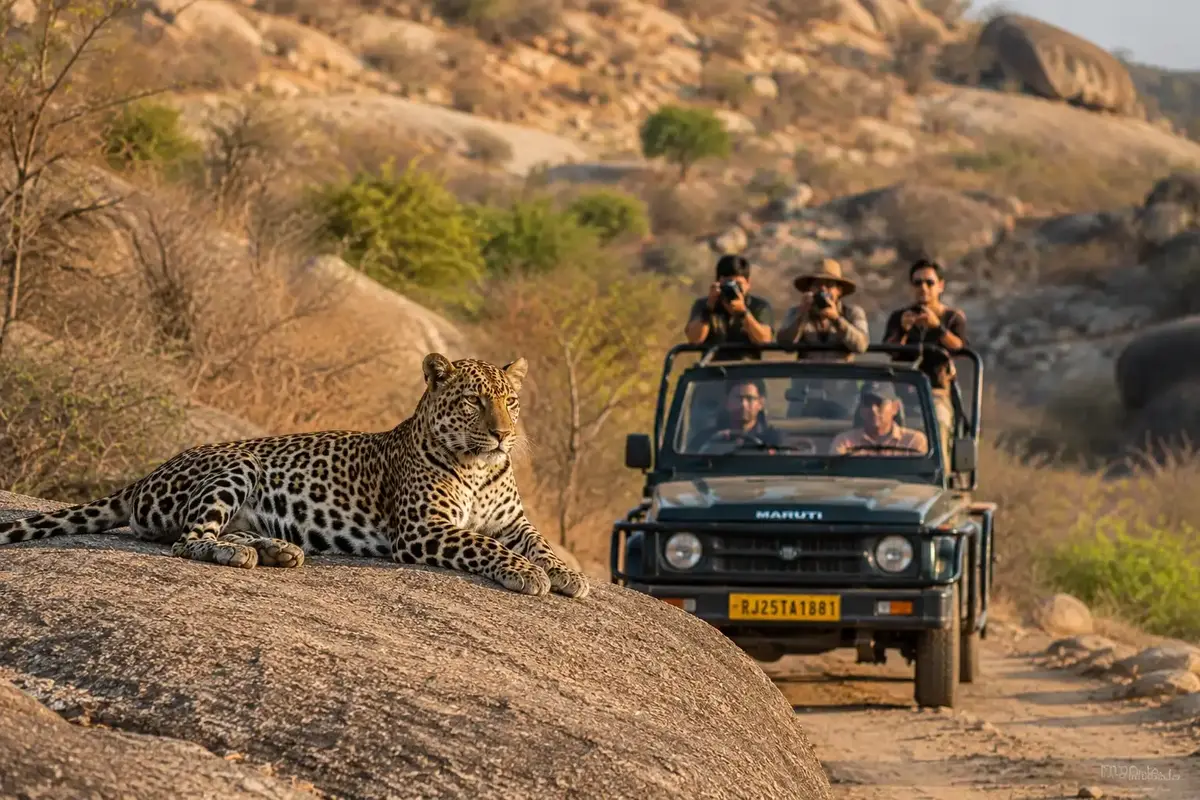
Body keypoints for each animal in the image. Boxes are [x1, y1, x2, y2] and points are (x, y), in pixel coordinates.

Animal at [0, 352, 589, 599]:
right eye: (472, 403)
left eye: (511, 401)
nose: (504, 435)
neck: (480, 468)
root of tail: (147, 475)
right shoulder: (424, 529)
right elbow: (483, 545)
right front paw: (528, 574)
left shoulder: (513, 521)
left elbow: (538, 542)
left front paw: (568, 574)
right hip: (236, 466)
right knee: (189, 539)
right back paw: (240, 553)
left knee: (206, 531)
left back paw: (277, 550)